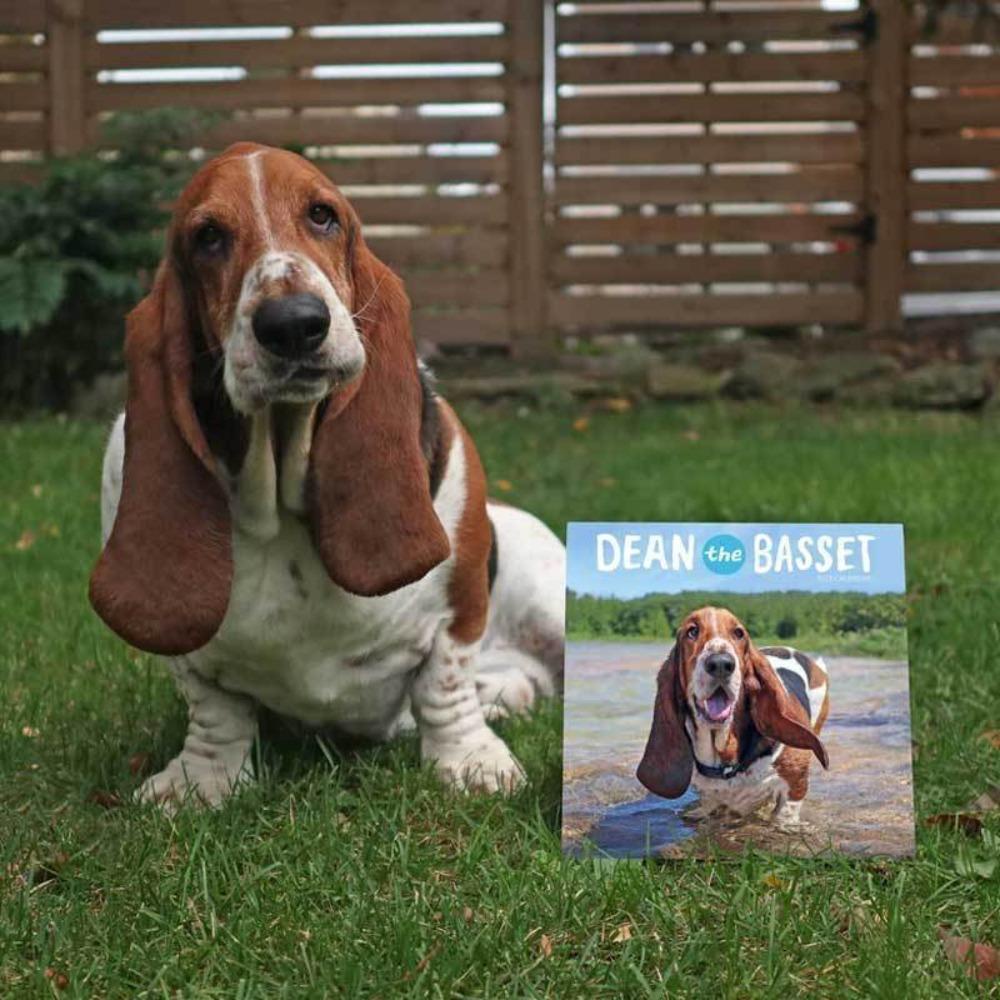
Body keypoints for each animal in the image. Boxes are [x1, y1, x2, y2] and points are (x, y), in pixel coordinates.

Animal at [90, 145, 568, 808]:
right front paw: (202, 782)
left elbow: (444, 684)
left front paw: (471, 764)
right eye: (208, 237)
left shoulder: (462, 604)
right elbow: (214, 710)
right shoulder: (192, 660)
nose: (293, 323)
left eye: (323, 215)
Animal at [640, 608, 828, 828]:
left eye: (739, 633)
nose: (720, 663)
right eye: (692, 631)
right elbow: (710, 805)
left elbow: (783, 815)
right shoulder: (710, 794)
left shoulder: (794, 782)